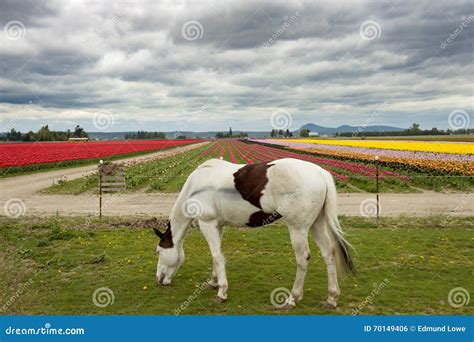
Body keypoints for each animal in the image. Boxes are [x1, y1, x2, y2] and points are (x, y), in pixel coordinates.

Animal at [154, 158, 354, 310]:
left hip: (298, 228)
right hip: (316, 225)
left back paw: (292, 298)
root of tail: (320, 172)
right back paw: (331, 298)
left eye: (159, 251)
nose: (159, 279)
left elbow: (217, 256)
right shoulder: (218, 226)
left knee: (303, 259)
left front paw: (222, 292)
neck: (196, 186)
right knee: (328, 254)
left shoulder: (207, 224)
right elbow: (216, 256)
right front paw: (214, 281)